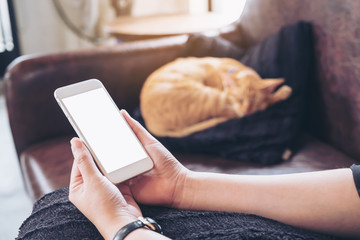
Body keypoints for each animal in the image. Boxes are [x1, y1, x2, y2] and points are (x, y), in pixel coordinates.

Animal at [139, 56, 292, 138]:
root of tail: (149, 124)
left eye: (254, 102)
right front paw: (281, 92)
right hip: (210, 98)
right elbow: (266, 102)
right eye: (239, 98)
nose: (246, 110)